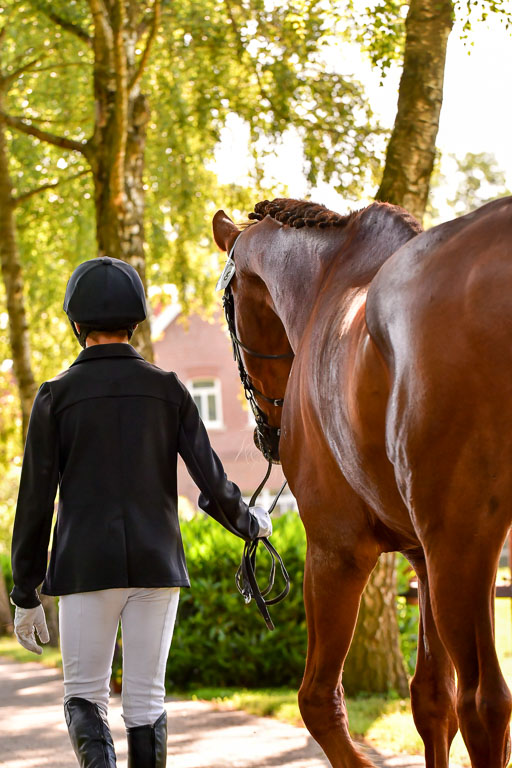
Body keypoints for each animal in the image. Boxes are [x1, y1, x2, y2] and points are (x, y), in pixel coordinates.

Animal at [212, 196, 512, 768]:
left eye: (230, 310)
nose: (267, 434)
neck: (326, 283)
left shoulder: (337, 548)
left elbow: (317, 701)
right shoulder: (420, 555)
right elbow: (430, 700)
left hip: (463, 545)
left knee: (484, 704)